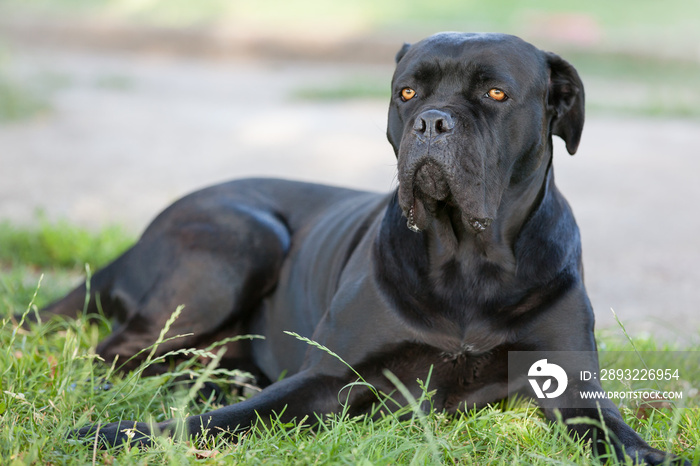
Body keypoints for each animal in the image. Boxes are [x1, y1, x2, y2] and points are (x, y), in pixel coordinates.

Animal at [38, 31, 684, 462]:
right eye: (408, 92)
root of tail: (143, 233)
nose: (432, 122)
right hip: (244, 238)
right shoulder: (328, 377)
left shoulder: (574, 388)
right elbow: (222, 420)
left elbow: (619, 437)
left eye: (497, 93)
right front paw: (115, 434)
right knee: (114, 355)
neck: (468, 263)